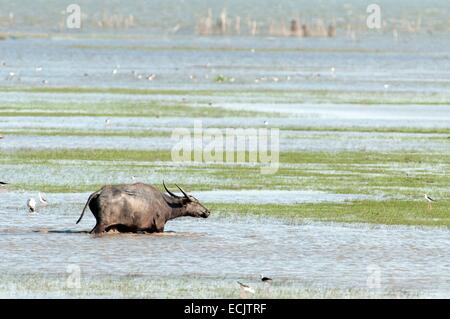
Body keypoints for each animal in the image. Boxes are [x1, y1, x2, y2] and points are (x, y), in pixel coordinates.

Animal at [76, 182, 210, 235]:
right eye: (196, 202)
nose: (207, 211)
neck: (167, 206)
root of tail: (98, 192)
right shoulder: (159, 226)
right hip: (102, 223)